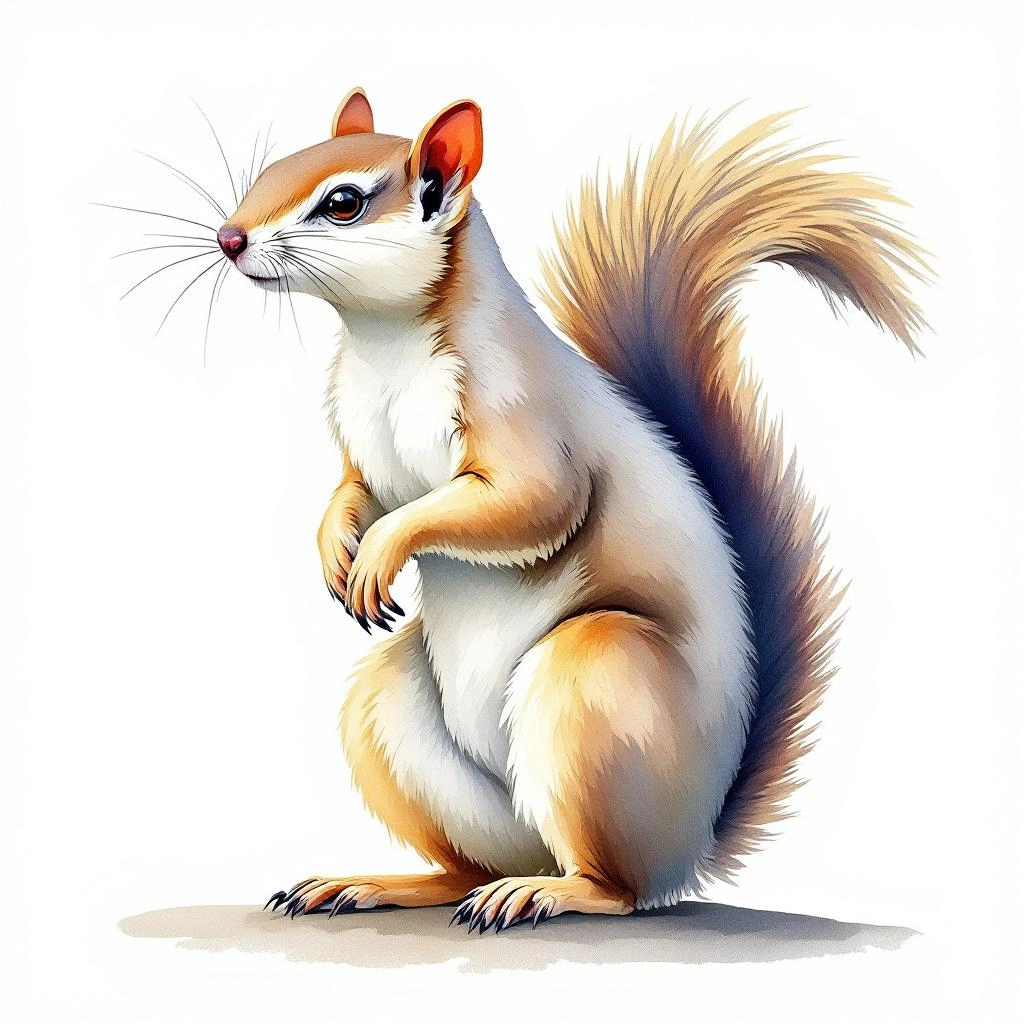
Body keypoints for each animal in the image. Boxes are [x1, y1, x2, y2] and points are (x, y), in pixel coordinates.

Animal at [213, 88, 927, 932]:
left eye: (343, 203)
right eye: (271, 169)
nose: (228, 238)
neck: (385, 345)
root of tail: (689, 844)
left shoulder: (523, 415)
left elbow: (530, 504)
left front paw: (384, 548)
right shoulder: (361, 443)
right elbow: (354, 490)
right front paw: (334, 545)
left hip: (592, 680)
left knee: (612, 887)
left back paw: (548, 893)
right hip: (390, 718)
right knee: (464, 866)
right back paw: (376, 884)